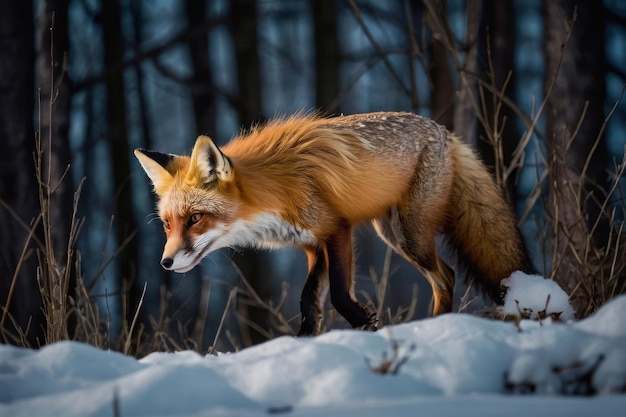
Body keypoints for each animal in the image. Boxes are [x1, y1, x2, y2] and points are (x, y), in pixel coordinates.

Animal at [134, 111, 528, 334]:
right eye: (167, 224)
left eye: (196, 218)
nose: (165, 262)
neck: (270, 196)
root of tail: (444, 131)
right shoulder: (311, 245)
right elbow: (309, 301)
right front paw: (305, 342)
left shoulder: (336, 229)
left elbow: (338, 292)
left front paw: (364, 322)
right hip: (393, 233)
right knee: (445, 276)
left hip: (409, 235)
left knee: (445, 276)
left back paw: (434, 328)